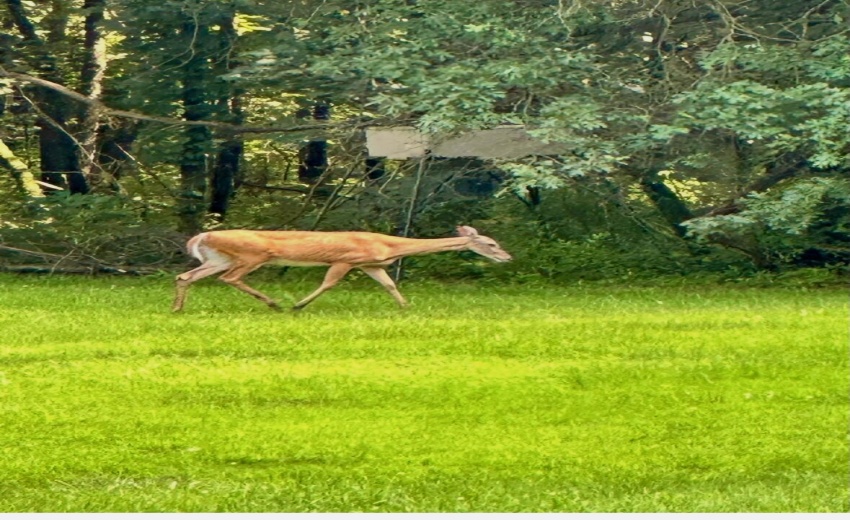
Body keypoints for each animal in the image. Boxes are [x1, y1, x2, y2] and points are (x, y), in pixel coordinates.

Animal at [171, 225, 511, 312]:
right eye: (491, 243)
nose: (507, 258)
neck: (390, 246)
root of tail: (202, 236)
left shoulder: (371, 264)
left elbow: (390, 284)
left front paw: (406, 307)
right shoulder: (347, 259)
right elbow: (329, 284)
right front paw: (298, 305)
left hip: (218, 258)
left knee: (185, 275)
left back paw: (177, 308)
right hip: (251, 256)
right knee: (230, 279)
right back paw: (274, 303)